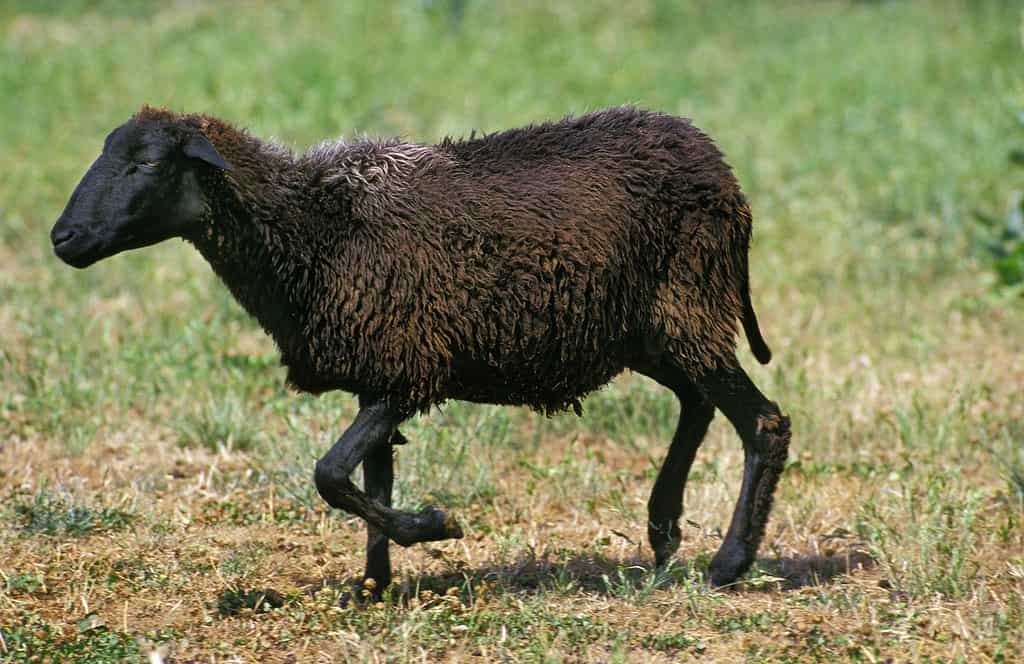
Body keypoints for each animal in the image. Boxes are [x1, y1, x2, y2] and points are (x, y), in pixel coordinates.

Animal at [51, 103, 790, 598]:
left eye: (148, 162)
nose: (62, 239)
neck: (313, 228)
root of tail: (721, 169)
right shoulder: (377, 373)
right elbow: (369, 478)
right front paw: (372, 585)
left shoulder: (408, 370)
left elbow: (330, 474)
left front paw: (434, 526)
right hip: (656, 328)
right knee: (698, 402)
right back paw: (663, 531)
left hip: (686, 304)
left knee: (763, 422)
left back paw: (727, 565)